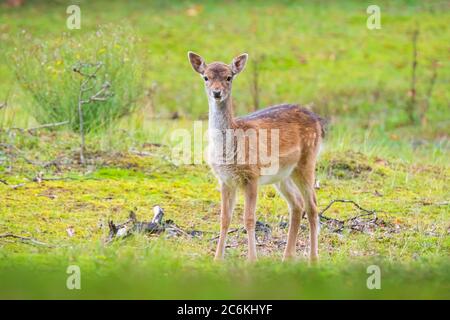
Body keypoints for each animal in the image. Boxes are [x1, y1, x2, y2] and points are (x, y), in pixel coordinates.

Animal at [188, 52, 326, 262]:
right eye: (206, 77)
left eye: (229, 77)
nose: (217, 93)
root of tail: (317, 119)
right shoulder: (225, 180)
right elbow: (224, 219)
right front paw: (217, 259)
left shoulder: (251, 175)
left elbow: (249, 218)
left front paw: (252, 259)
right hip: (282, 175)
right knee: (297, 204)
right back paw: (287, 257)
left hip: (307, 161)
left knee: (312, 206)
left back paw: (313, 259)